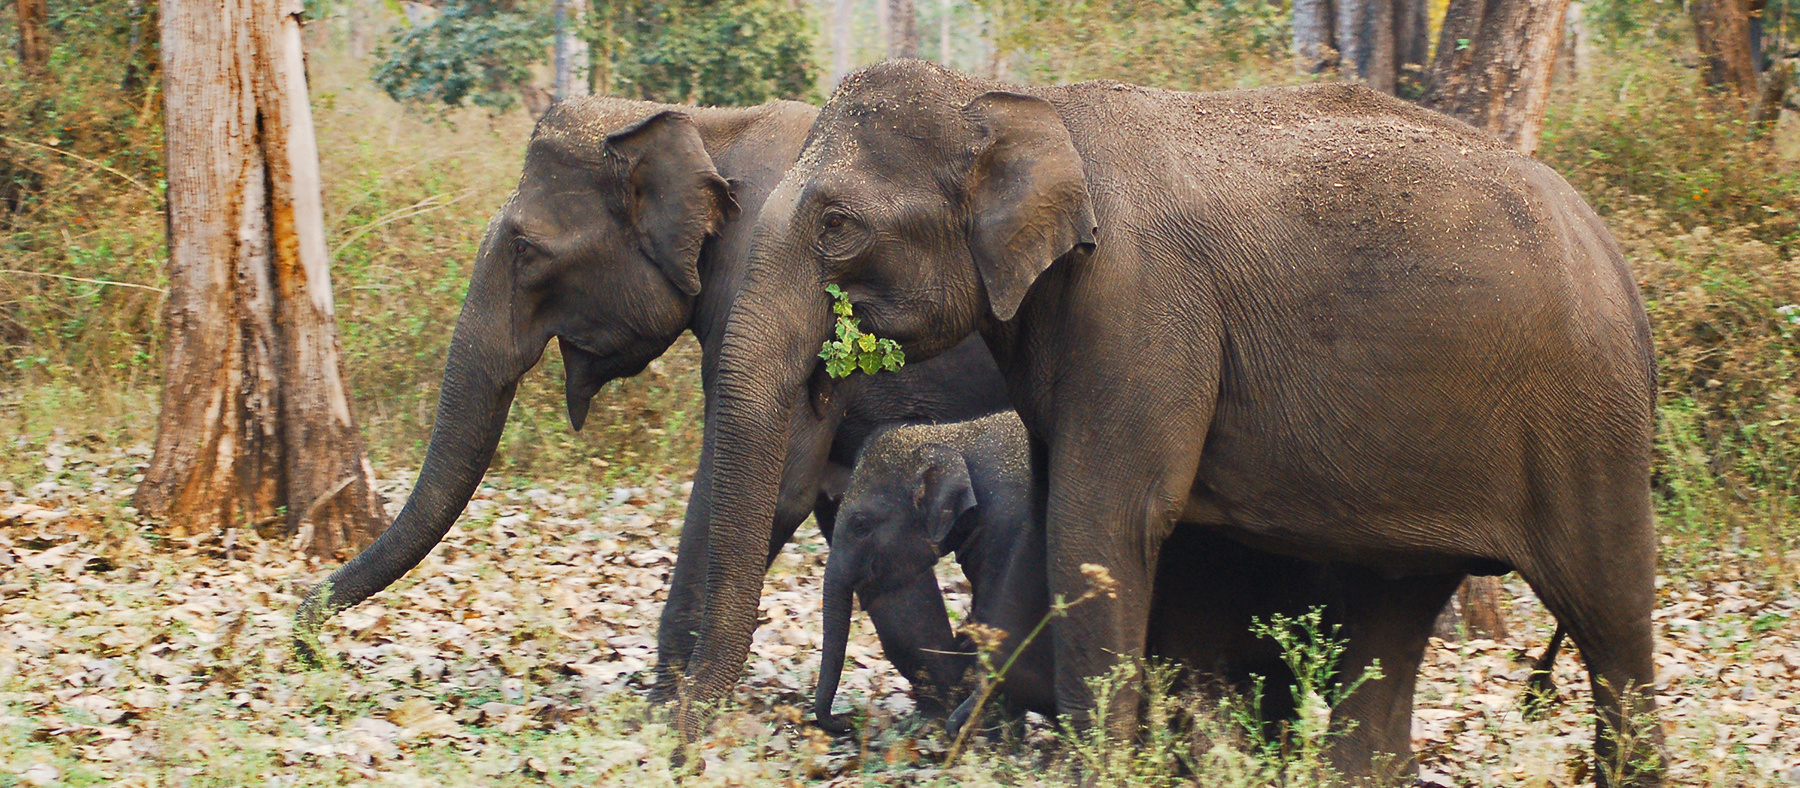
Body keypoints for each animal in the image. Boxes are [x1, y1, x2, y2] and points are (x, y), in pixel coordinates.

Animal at [286, 94, 1008, 708]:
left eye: (525, 249)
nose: (309, 649)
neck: (704, 123)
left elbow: (771, 483)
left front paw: (663, 713)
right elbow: (839, 509)